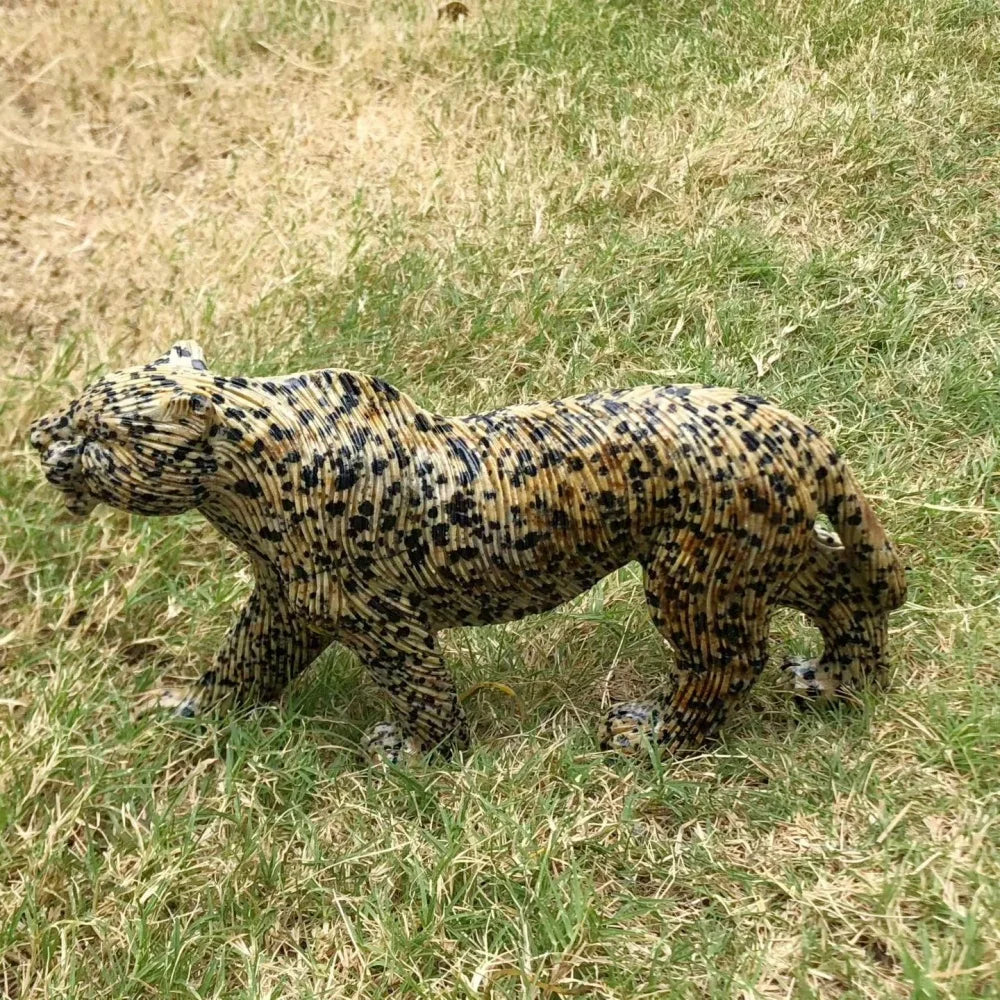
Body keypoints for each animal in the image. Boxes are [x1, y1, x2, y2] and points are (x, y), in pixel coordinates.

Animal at [29, 341, 906, 761]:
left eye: (98, 430)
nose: (39, 438)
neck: (242, 476)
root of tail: (797, 430)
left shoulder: (371, 611)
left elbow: (417, 684)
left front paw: (421, 754)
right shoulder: (288, 599)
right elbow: (242, 660)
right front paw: (190, 713)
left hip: (698, 576)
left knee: (726, 659)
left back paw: (651, 739)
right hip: (761, 556)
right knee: (849, 586)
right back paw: (838, 684)